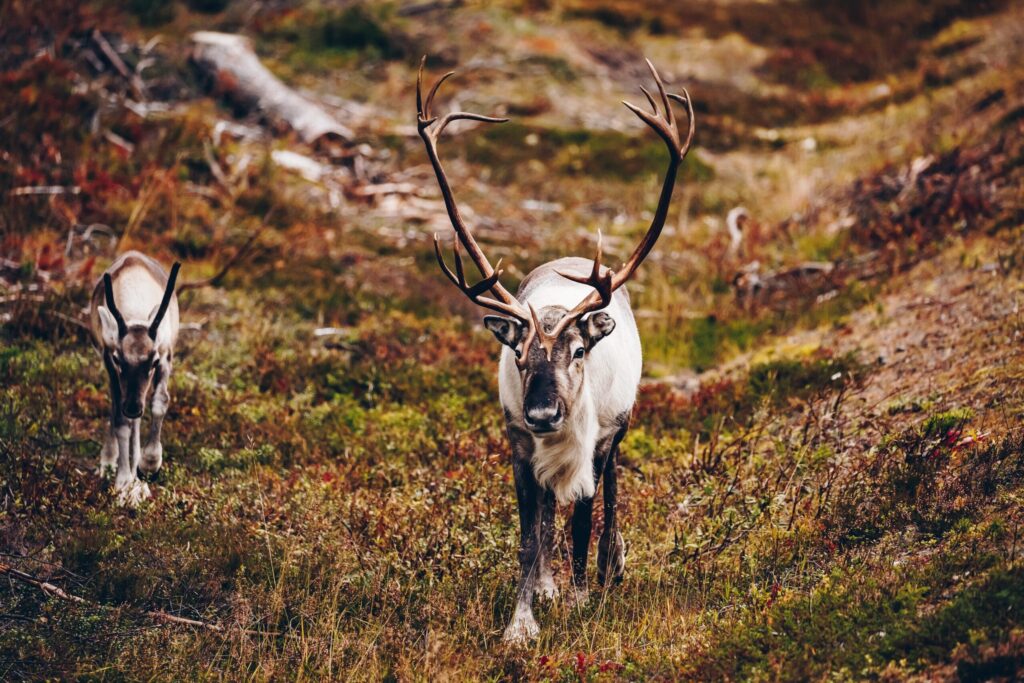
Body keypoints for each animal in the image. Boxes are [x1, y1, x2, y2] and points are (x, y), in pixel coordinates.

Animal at [89, 251, 181, 507]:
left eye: (153, 362)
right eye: (119, 359)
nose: (132, 407)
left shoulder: (166, 354)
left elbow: (160, 402)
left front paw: (148, 465)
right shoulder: (108, 360)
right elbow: (120, 421)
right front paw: (122, 482)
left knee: (136, 420)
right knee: (119, 414)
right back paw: (110, 462)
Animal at [416, 57, 695, 642]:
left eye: (580, 351)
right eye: (519, 356)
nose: (544, 413)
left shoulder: (596, 442)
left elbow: (583, 523)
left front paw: (581, 598)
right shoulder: (518, 441)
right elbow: (530, 534)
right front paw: (524, 618)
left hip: (619, 429)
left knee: (610, 492)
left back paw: (613, 565)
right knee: (547, 510)